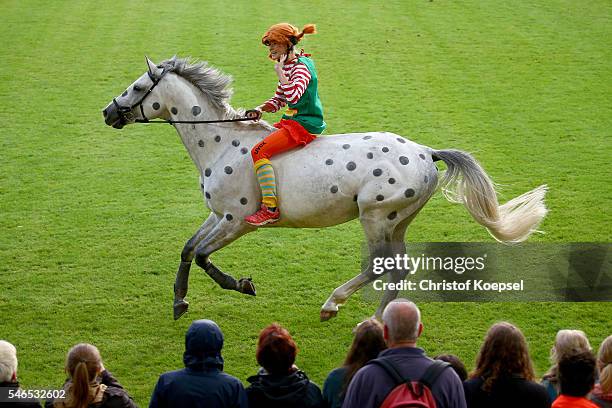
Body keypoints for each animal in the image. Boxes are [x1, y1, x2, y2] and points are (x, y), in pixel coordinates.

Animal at [101, 55, 548, 320]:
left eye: (137, 87)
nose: (107, 112)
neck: (221, 143)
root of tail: (425, 151)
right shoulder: (218, 215)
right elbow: (188, 249)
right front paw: (179, 300)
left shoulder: (237, 220)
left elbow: (203, 256)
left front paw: (241, 285)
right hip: (398, 221)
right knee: (399, 267)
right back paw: (376, 318)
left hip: (375, 217)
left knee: (380, 266)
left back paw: (344, 309)